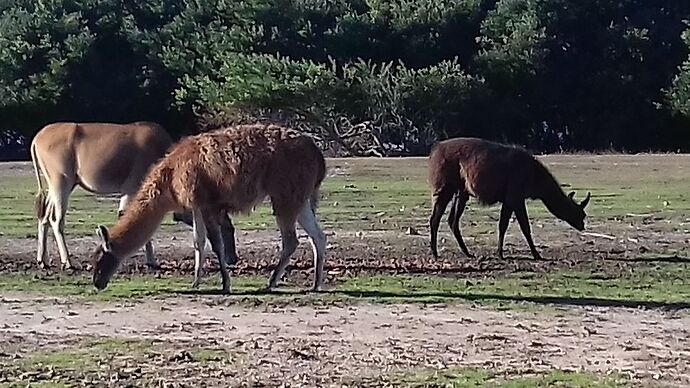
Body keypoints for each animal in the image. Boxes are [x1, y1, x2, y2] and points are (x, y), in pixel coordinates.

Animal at [32, 121, 239, 270]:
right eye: (228, 229)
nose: (233, 259)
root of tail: (36, 139)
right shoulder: (136, 188)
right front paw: (151, 261)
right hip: (61, 184)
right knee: (56, 220)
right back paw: (67, 262)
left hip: (56, 187)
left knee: (44, 217)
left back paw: (43, 260)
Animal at [90, 125, 326, 294]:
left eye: (100, 260)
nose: (97, 283)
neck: (169, 181)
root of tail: (318, 154)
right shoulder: (195, 205)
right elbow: (198, 241)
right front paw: (195, 282)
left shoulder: (206, 202)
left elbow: (216, 244)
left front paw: (226, 284)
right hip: (300, 196)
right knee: (318, 236)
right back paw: (315, 284)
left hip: (285, 194)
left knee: (291, 240)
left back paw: (271, 283)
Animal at [428, 137, 588, 260]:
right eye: (580, 213)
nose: (582, 226)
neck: (534, 179)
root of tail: (434, 150)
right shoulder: (515, 196)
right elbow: (524, 227)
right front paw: (536, 254)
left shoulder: (509, 199)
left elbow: (503, 225)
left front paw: (499, 253)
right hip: (444, 186)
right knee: (435, 218)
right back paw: (435, 254)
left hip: (461, 191)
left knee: (452, 220)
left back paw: (467, 253)